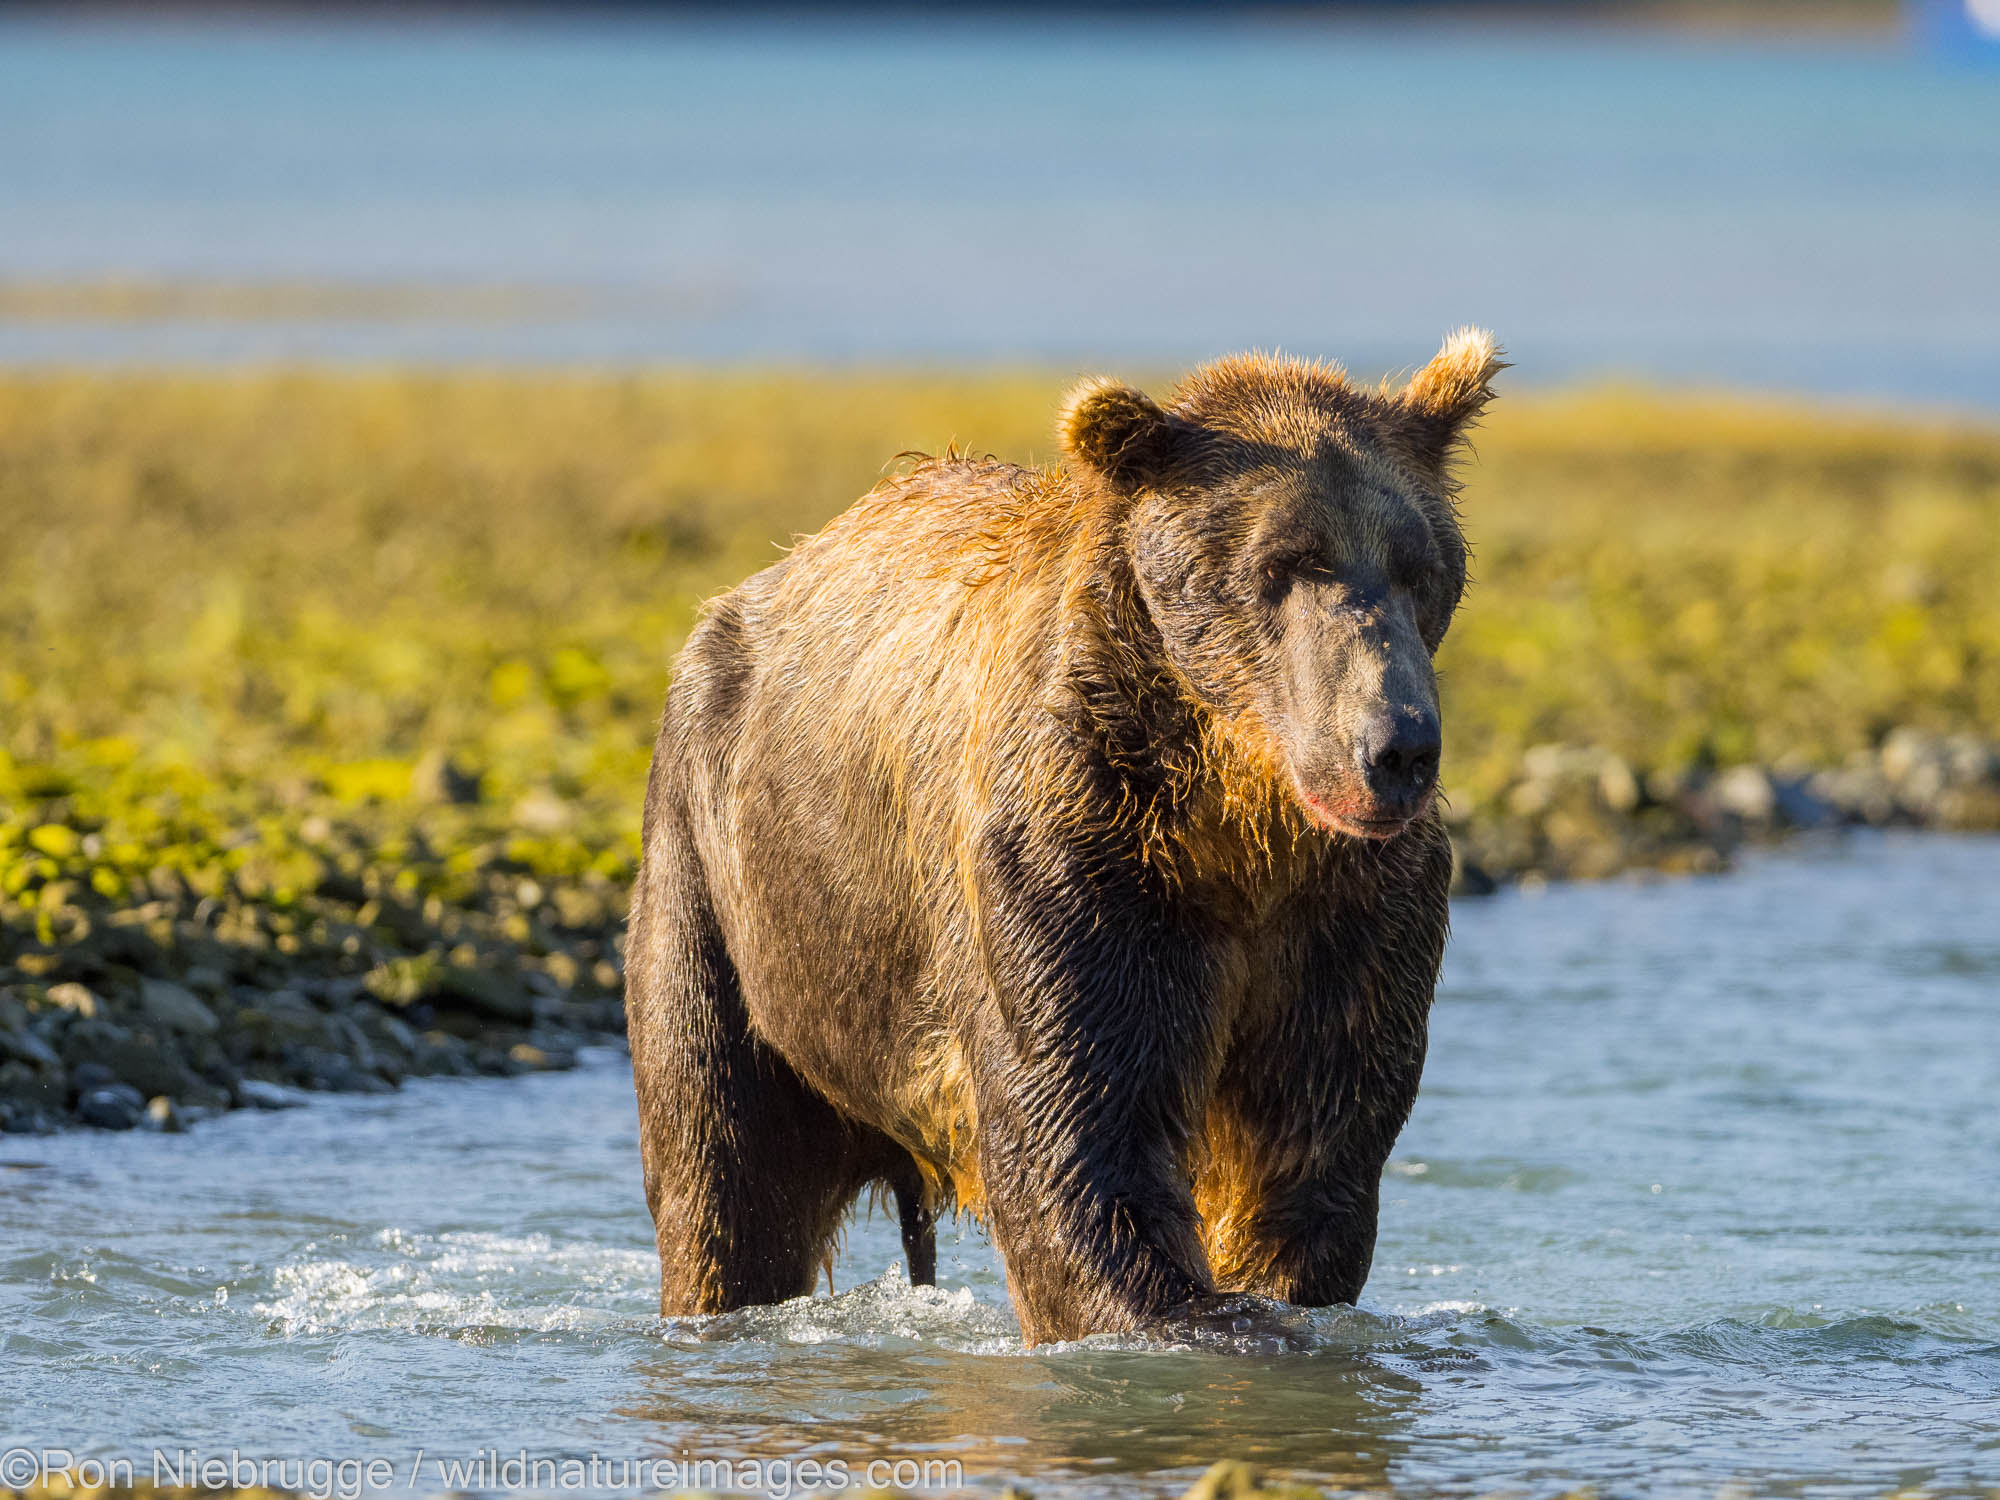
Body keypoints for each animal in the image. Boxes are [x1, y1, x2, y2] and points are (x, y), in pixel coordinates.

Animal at [624, 332, 1504, 1352]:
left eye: (1421, 566)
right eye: (1283, 563)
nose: (1394, 746)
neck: (1237, 827)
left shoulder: (1347, 915)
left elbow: (1307, 1152)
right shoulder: (1078, 862)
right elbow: (1079, 1135)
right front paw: (1199, 1321)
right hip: (735, 883)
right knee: (723, 1162)